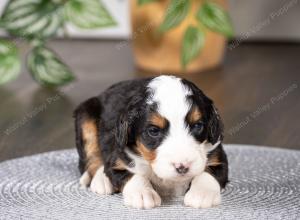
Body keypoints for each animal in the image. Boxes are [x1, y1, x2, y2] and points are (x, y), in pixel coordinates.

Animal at [74, 75, 227, 209]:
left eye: (197, 125)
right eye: (153, 131)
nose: (182, 167)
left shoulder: (218, 156)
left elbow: (209, 172)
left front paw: (202, 193)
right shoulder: (118, 159)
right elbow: (132, 175)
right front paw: (143, 194)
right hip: (85, 116)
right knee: (91, 156)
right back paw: (101, 180)